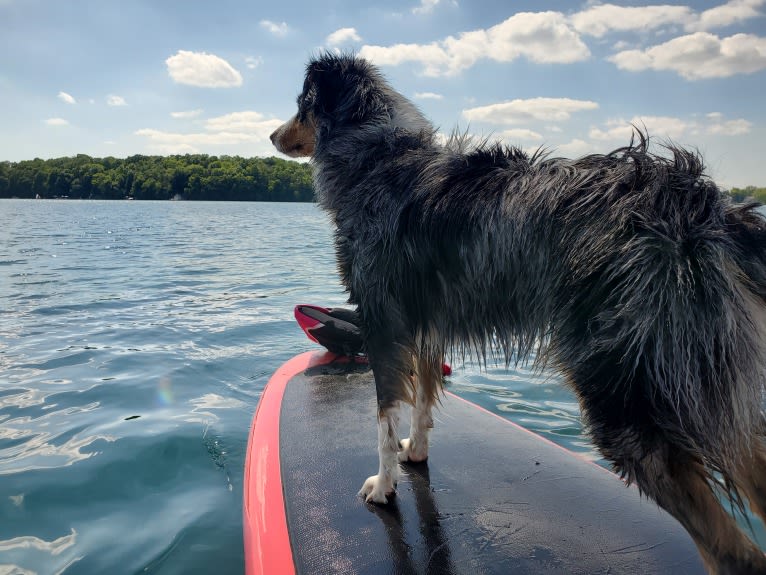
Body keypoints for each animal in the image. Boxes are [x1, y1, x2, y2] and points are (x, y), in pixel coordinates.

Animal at [272, 53, 766, 572]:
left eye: (302, 105)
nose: (270, 136)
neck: (376, 155)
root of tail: (702, 209)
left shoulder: (383, 320)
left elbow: (385, 416)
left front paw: (384, 486)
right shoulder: (426, 322)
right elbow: (424, 398)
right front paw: (417, 453)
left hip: (630, 393)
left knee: (732, 551)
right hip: (712, 390)